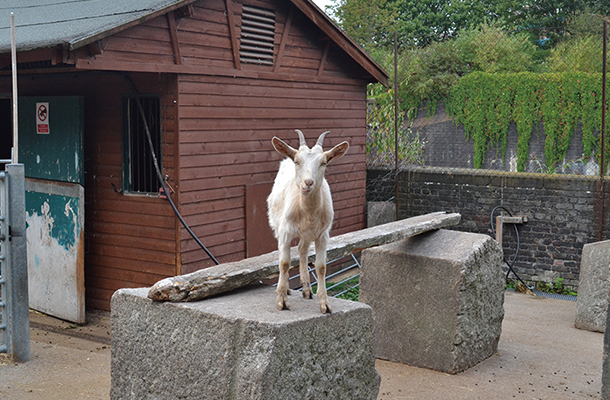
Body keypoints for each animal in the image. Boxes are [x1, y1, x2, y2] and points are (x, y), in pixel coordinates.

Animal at [266, 130, 346, 314]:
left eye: (323, 163)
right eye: (297, 161)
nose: (308, 183)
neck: (307, 210)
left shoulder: (322, 234)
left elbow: (321, 267)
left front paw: (325, 304)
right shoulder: (286, 230)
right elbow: (284, 262)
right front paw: (282, 301)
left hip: (308, 233)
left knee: (302, 250)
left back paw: (307, 289)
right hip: (278, 225)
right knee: (284, 252)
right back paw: (287, 288)